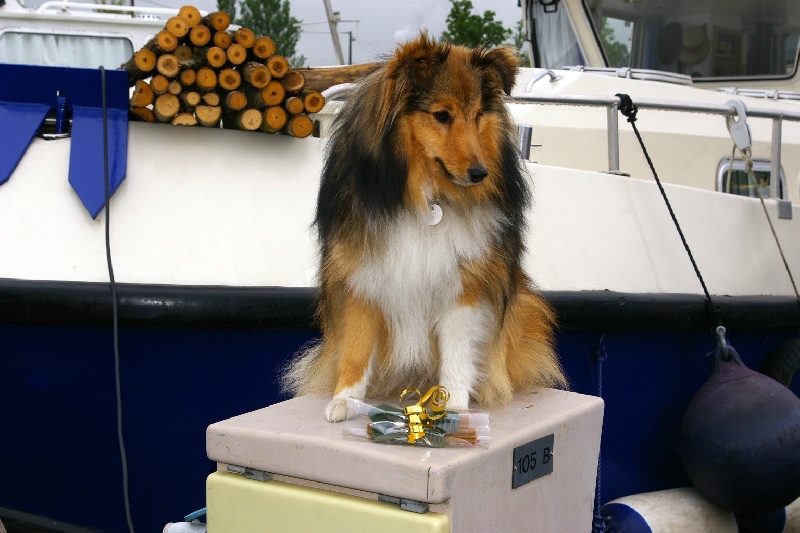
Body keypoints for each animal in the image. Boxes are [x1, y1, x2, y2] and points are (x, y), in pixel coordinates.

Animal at [284, 34, 564, 424]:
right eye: (442, 115)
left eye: (477, 115)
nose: (480, 174)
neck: (425, 193)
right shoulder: (362, 273)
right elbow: (357, 344)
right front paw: (345, 400)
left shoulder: (465, 282)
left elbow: (457, 350)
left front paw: (455, 405)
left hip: (524, 306)